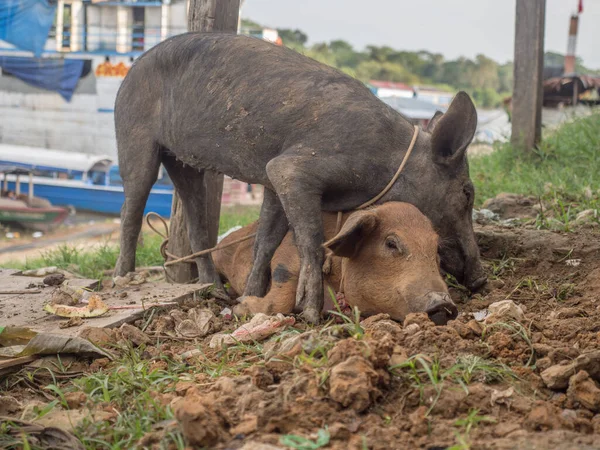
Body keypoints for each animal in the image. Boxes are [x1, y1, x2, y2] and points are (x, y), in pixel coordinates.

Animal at [213, 202, 458, 326]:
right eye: (391, 243)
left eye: (436, 249)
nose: (443, 302)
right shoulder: (286, 255)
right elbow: (282, 294)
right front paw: (239, 306)